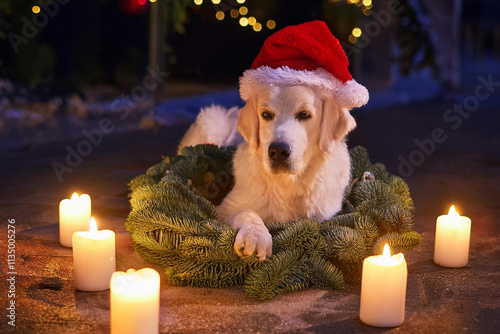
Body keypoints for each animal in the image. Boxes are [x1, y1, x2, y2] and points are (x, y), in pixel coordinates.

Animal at [176, 20, 368, 262]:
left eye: (304, 115)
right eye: (266, 114)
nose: (278, 151)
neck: (289, 184)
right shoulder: (226, 207)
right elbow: (248, 212)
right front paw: (255, 237)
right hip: (212, 120)